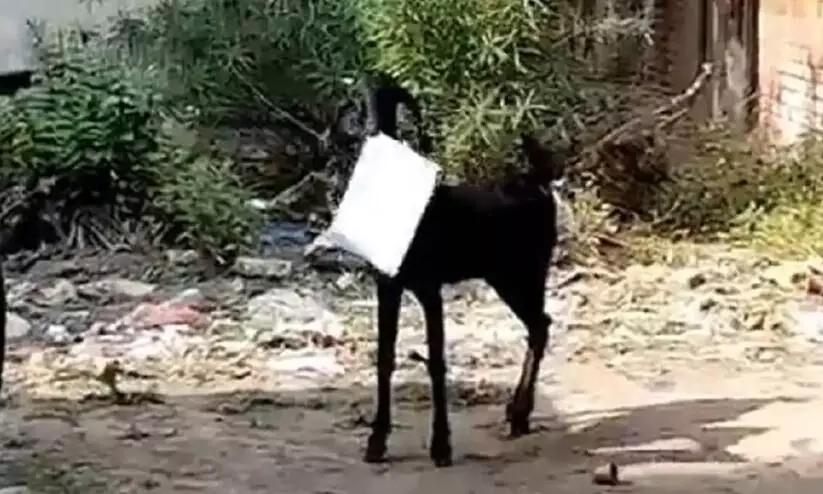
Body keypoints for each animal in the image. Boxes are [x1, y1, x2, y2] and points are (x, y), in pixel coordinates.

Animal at [351, 77, 567, 467]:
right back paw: (518, 415)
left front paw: (441, 447)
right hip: (509, 277)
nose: (370, 135)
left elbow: (436, 360)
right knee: (538, 326)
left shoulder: (429, 287)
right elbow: (385, 358)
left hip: (523, 273)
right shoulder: (387, 285)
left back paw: (518, 414)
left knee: (540, 326)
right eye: (363, 106)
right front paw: (376, 442)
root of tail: (538, 184)